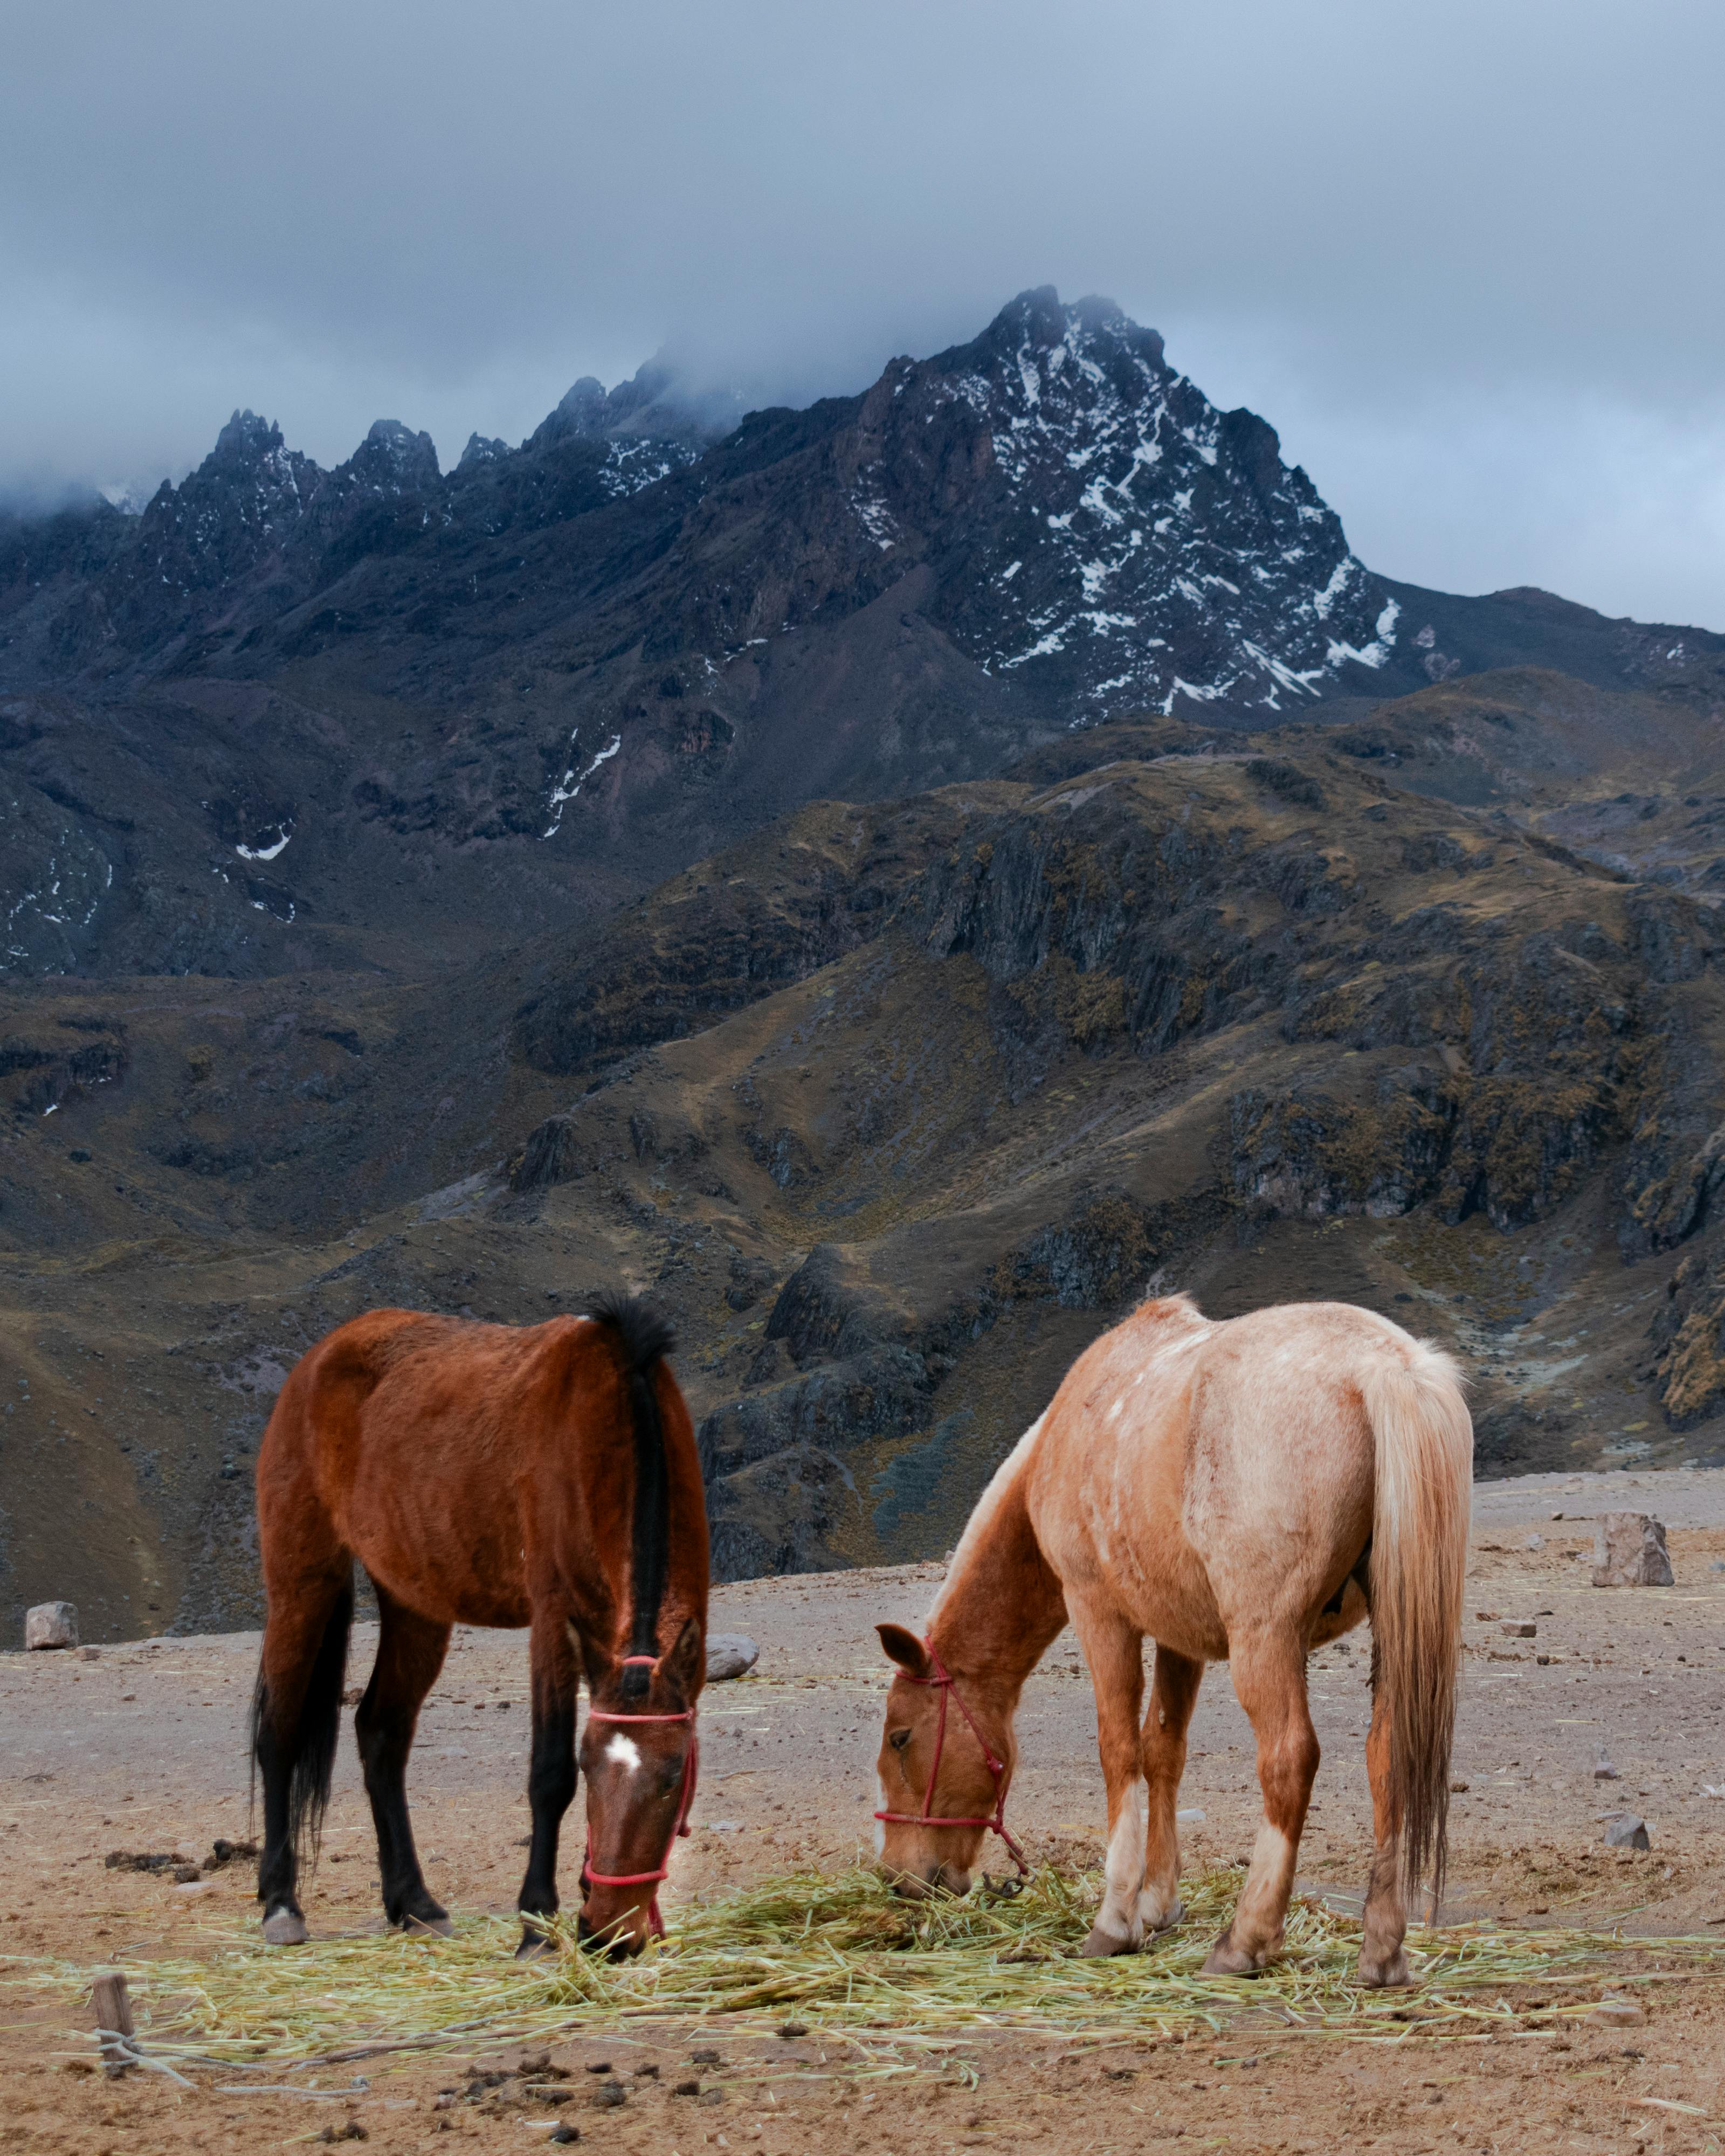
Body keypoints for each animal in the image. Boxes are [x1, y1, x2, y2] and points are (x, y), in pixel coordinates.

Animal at [249, 1291, 707, 1959]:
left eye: (673, 1778)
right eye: (589, 1767)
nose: (606, 1935)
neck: (617, 1415)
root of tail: (317, 1359)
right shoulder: (553, 1618)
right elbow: (547, 1774)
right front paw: (536, 1925)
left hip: (415, 1603)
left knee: (381, 1733)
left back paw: (414, 1903)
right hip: (301, 1582)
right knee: (278, 1734)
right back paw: (282, 1904)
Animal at [873, 1294, 1471, 1986]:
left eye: (901, 1738)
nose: (900, 1880)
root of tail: (1383, 1368)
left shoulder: (1098, 1610)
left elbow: (1118, 1750)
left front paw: (1115, 1919)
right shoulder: (1177, 1637)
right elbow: (1162, 1750)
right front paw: (1158, 1903)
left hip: (1264, 1639)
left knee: (1288, 1760)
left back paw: (1244, 1939)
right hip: (1391, 1634)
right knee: (1386, 1756)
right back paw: (1380, 1949)